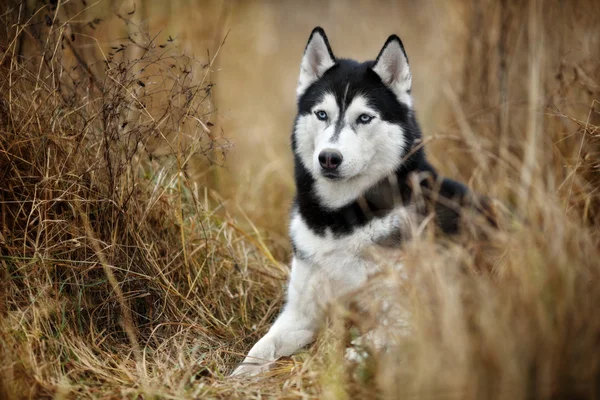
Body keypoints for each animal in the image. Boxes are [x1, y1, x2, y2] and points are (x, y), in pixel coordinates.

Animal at [232, 27, 490, 376]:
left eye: (365, 117)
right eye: (322, 114)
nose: (329, 157)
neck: (339, 217)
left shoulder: (405, 320)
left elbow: (353, 352)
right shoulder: (300, 313)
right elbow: (259, 350)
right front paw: (235, 378)